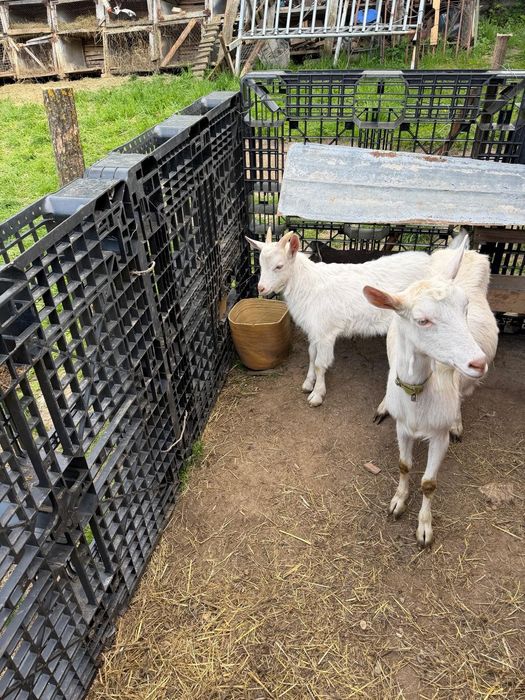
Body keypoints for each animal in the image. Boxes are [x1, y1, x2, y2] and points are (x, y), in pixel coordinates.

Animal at [246, 228, 431, 406]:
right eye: (260, 263)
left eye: (279, 266)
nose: (261, 288)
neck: (308, 285)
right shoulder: (315, 330)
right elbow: (311, 355)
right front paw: (308, 383)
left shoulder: (326, 332)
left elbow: (320, 363)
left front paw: (317, 394)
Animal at [363, 236, 498, 546]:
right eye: (422, 320)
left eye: (465, 308)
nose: (478, 362)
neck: (418, 395)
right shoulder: (402, 427)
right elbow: (403, 465)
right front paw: (398, 502)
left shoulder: (438, 435)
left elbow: (428, 483)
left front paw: (424, 527)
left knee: (461, 396)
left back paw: (458, 423)